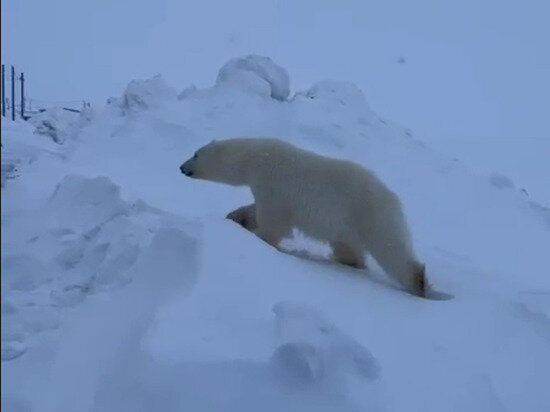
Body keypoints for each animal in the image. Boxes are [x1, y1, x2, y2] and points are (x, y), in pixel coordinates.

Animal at [182, 138, 432, 296]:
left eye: (195, 153)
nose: (182, 167)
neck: (257, 158)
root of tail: (394, 199)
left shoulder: (273, 181)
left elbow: (273, 220)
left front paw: (261, 238)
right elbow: (257, 211)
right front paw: (236, 216)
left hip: (371, 215)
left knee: (391, 249)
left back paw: (419, 281)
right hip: (348, 226)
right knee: (348, 248)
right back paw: (350, 263)